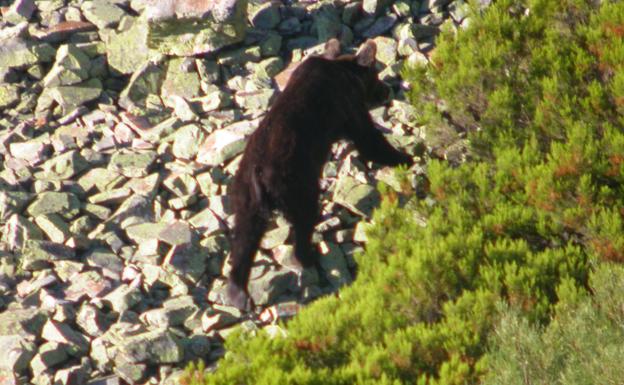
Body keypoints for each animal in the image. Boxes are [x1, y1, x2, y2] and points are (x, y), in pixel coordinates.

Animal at [224, 38, 414, 308]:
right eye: (376, 75)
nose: (387, 90)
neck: (345, 71)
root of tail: (258, 178)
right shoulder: (348, 105)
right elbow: (368, 139)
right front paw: (405, 157)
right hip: (297, 183)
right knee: (303, 219)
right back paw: (308, 256)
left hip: (245, 198)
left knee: (244, 237)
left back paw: (238, 293)